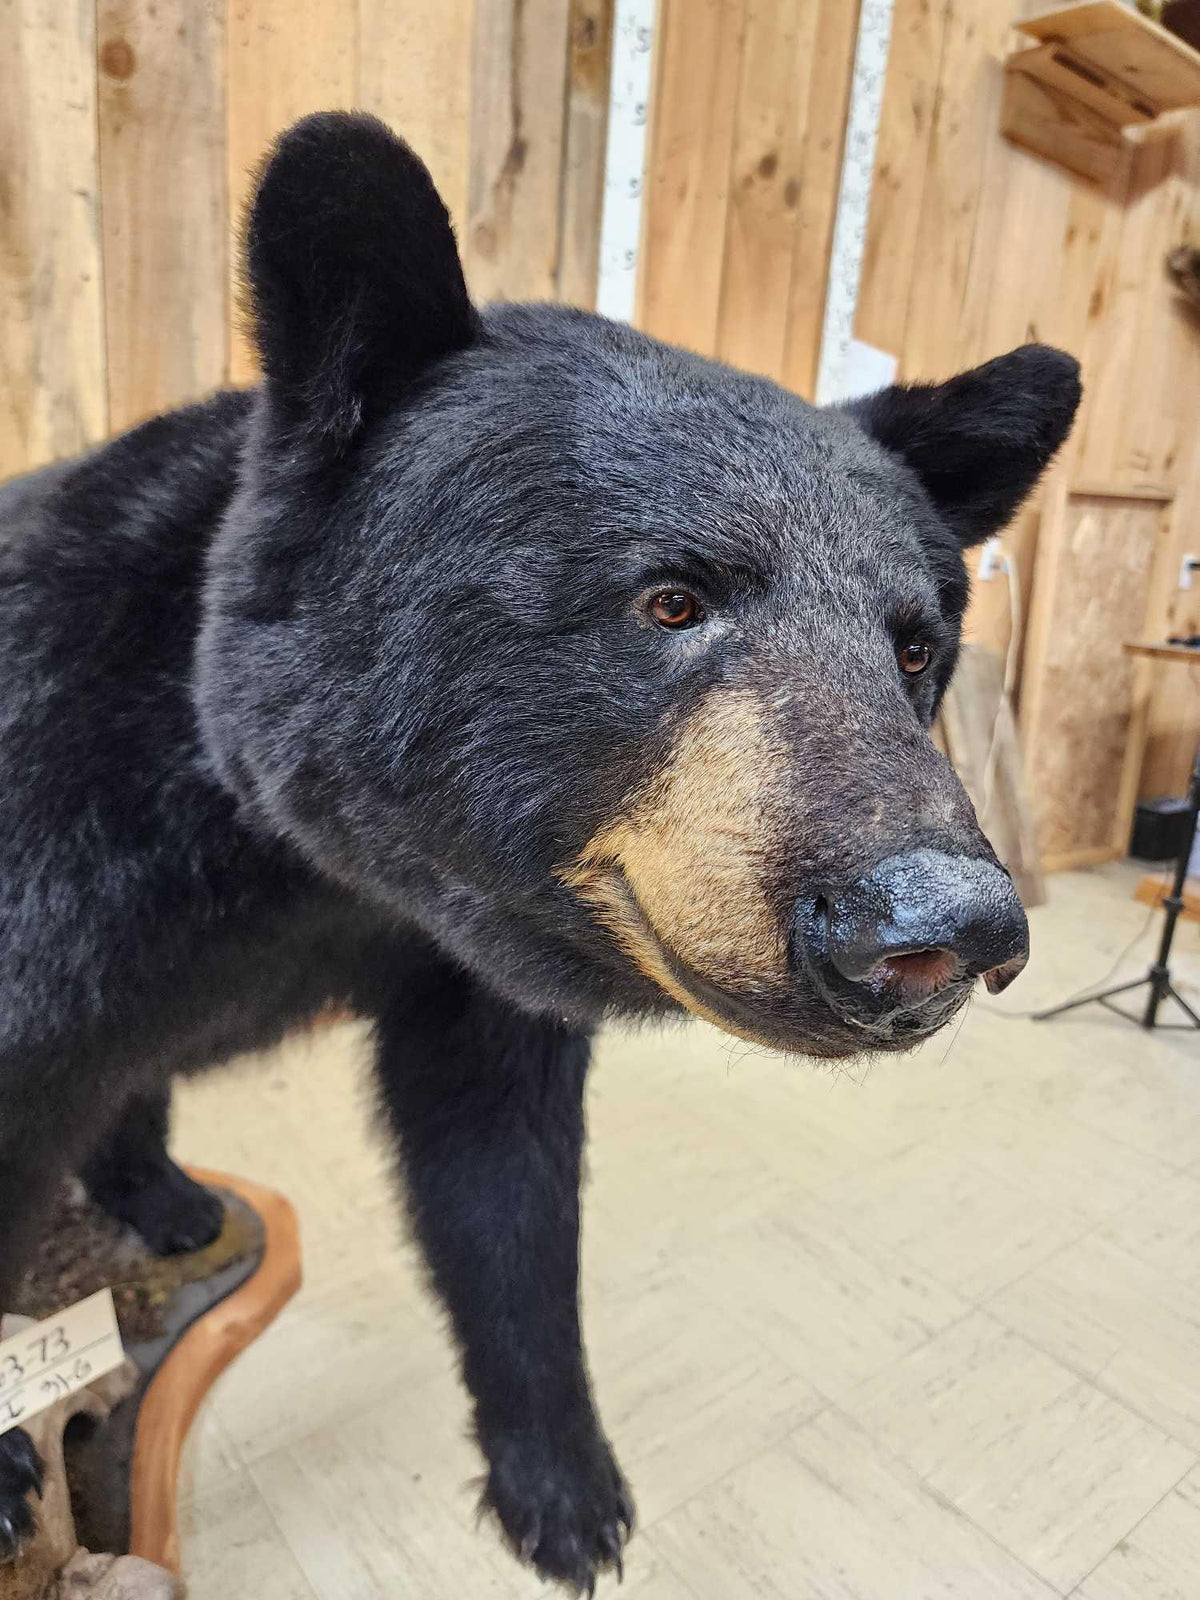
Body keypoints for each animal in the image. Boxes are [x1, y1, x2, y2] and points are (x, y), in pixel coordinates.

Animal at [0, 112, 1080, 1592]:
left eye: (915, 647)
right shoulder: (62, 829)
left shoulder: (468, 971)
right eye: (671, 598)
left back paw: (164, 1198)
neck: (313, 864)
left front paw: (564, 1487)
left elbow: (503, 1187)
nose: (944, 926)